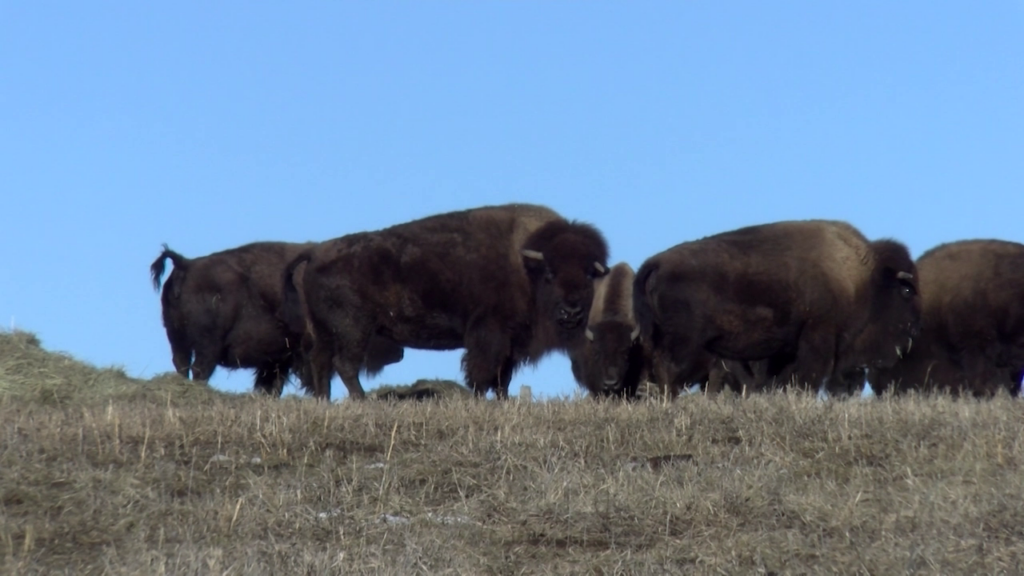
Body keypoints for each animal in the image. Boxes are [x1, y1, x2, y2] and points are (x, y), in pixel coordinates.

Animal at [149, 238, 401, 393]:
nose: (397, 354)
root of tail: (186, 264)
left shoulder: (278, 361)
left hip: (178, 340)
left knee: (182, 365)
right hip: (207, 347)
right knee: (199, 370)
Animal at [282, 202, 606, 399]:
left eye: (589, 275)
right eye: (550, 272)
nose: (571, 312)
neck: (526, 265)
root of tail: (316, 252)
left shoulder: (511, 342)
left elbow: (503, 376)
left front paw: (505, 401)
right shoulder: (490, 335)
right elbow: (483, 372)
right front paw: (480, 399)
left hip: (325, 331)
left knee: (321, 363)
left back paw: (325, 401)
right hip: (353, 331)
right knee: (345, 364)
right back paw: (361, 401)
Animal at [630, 218, 921, 393]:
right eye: (907, 290)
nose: (911, 334)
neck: (862, 278)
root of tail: (655, 263)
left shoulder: (788, 349)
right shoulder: (819, 336)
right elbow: (810, 374)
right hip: (684, 342)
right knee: (669, 368)